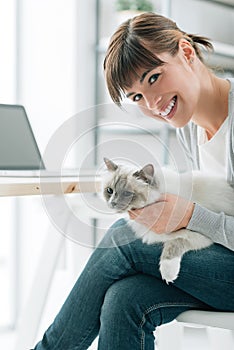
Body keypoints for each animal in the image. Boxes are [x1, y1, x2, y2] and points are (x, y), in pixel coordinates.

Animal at [102, 157, 234, 284]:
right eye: (109, 191)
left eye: (127, 193)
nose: (112, 203)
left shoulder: (197, 236)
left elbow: (173, 244)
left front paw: (168, 274)